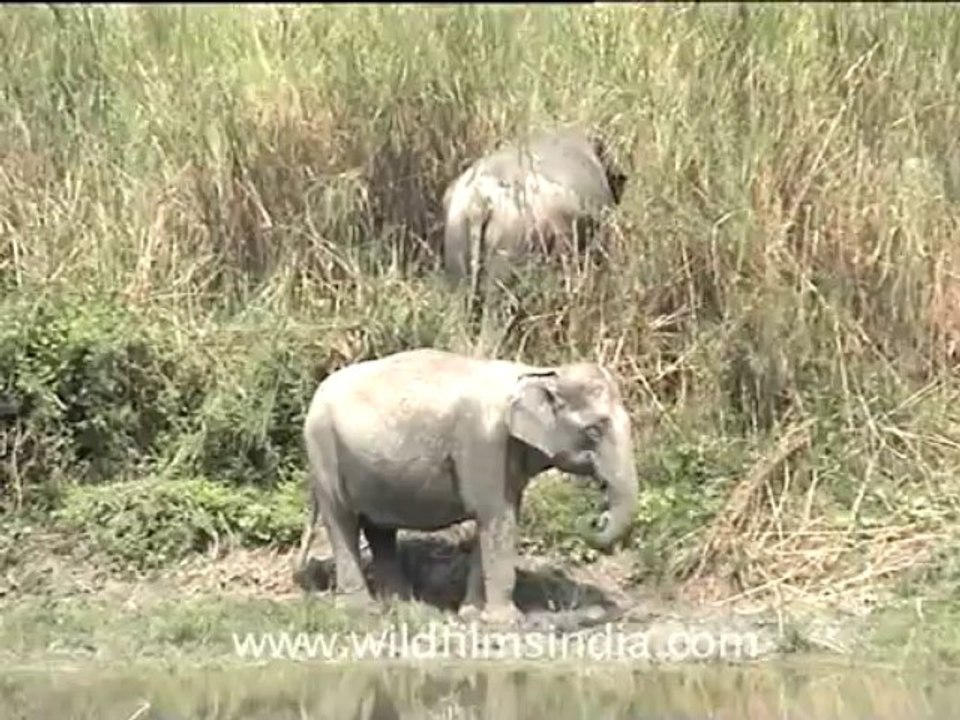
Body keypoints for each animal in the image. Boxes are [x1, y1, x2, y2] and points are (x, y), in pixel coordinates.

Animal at [293, 347, 639, 627]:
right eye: (594, 430)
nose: (597, 516)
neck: (539, 372)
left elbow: (495, 523)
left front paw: (472, 614)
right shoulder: (485, 444)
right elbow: (498, 519)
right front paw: (506, 622)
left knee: (379, 529)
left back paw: (403, 606)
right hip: (323, 451)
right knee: (342, 521)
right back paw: (360, 611)